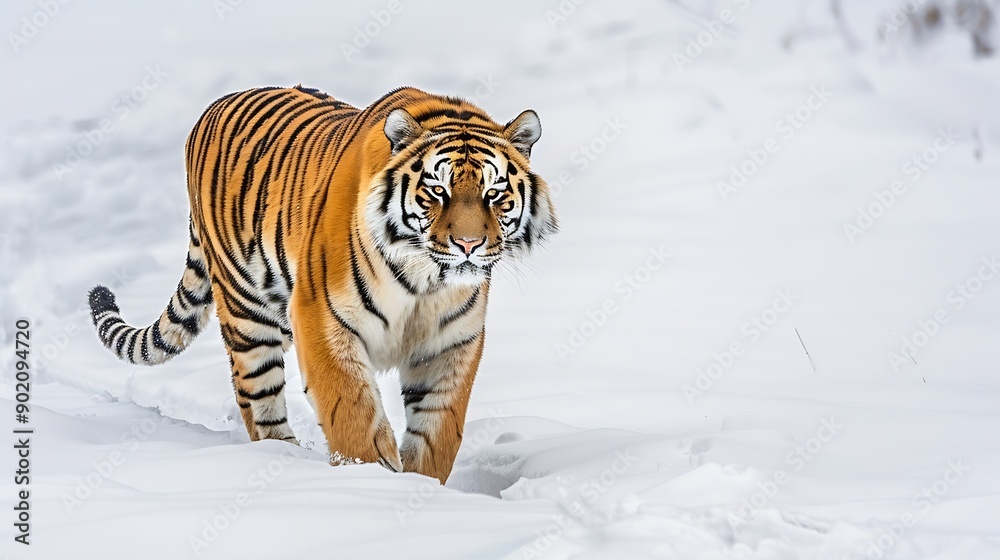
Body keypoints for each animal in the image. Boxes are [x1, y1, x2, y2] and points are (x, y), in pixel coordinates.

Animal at [86, 85, 557, 483]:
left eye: (494, 194)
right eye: (437, 191)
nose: (468, 244)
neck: (426, 281)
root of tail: (212, 107)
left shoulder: (451, 343)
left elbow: (438, 431)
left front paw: (421, 488)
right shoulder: (323, 318)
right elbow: (352, 412)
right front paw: (371, 481)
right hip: (247, 316)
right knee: (258, 402)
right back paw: (284, 460)